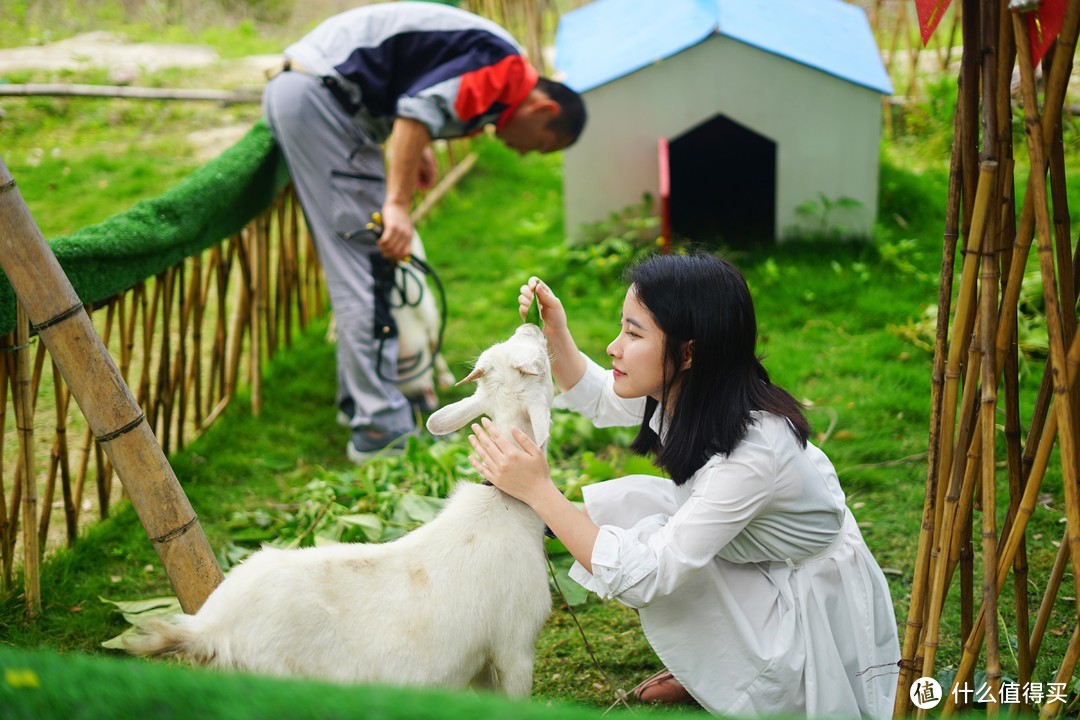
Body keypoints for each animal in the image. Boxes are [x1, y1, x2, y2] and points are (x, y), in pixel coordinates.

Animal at [128, 325, 557, 699]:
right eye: (536, 365)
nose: (533, 325)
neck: (504, 505)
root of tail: (208, 628)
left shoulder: (481, 659)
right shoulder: (514, 645)